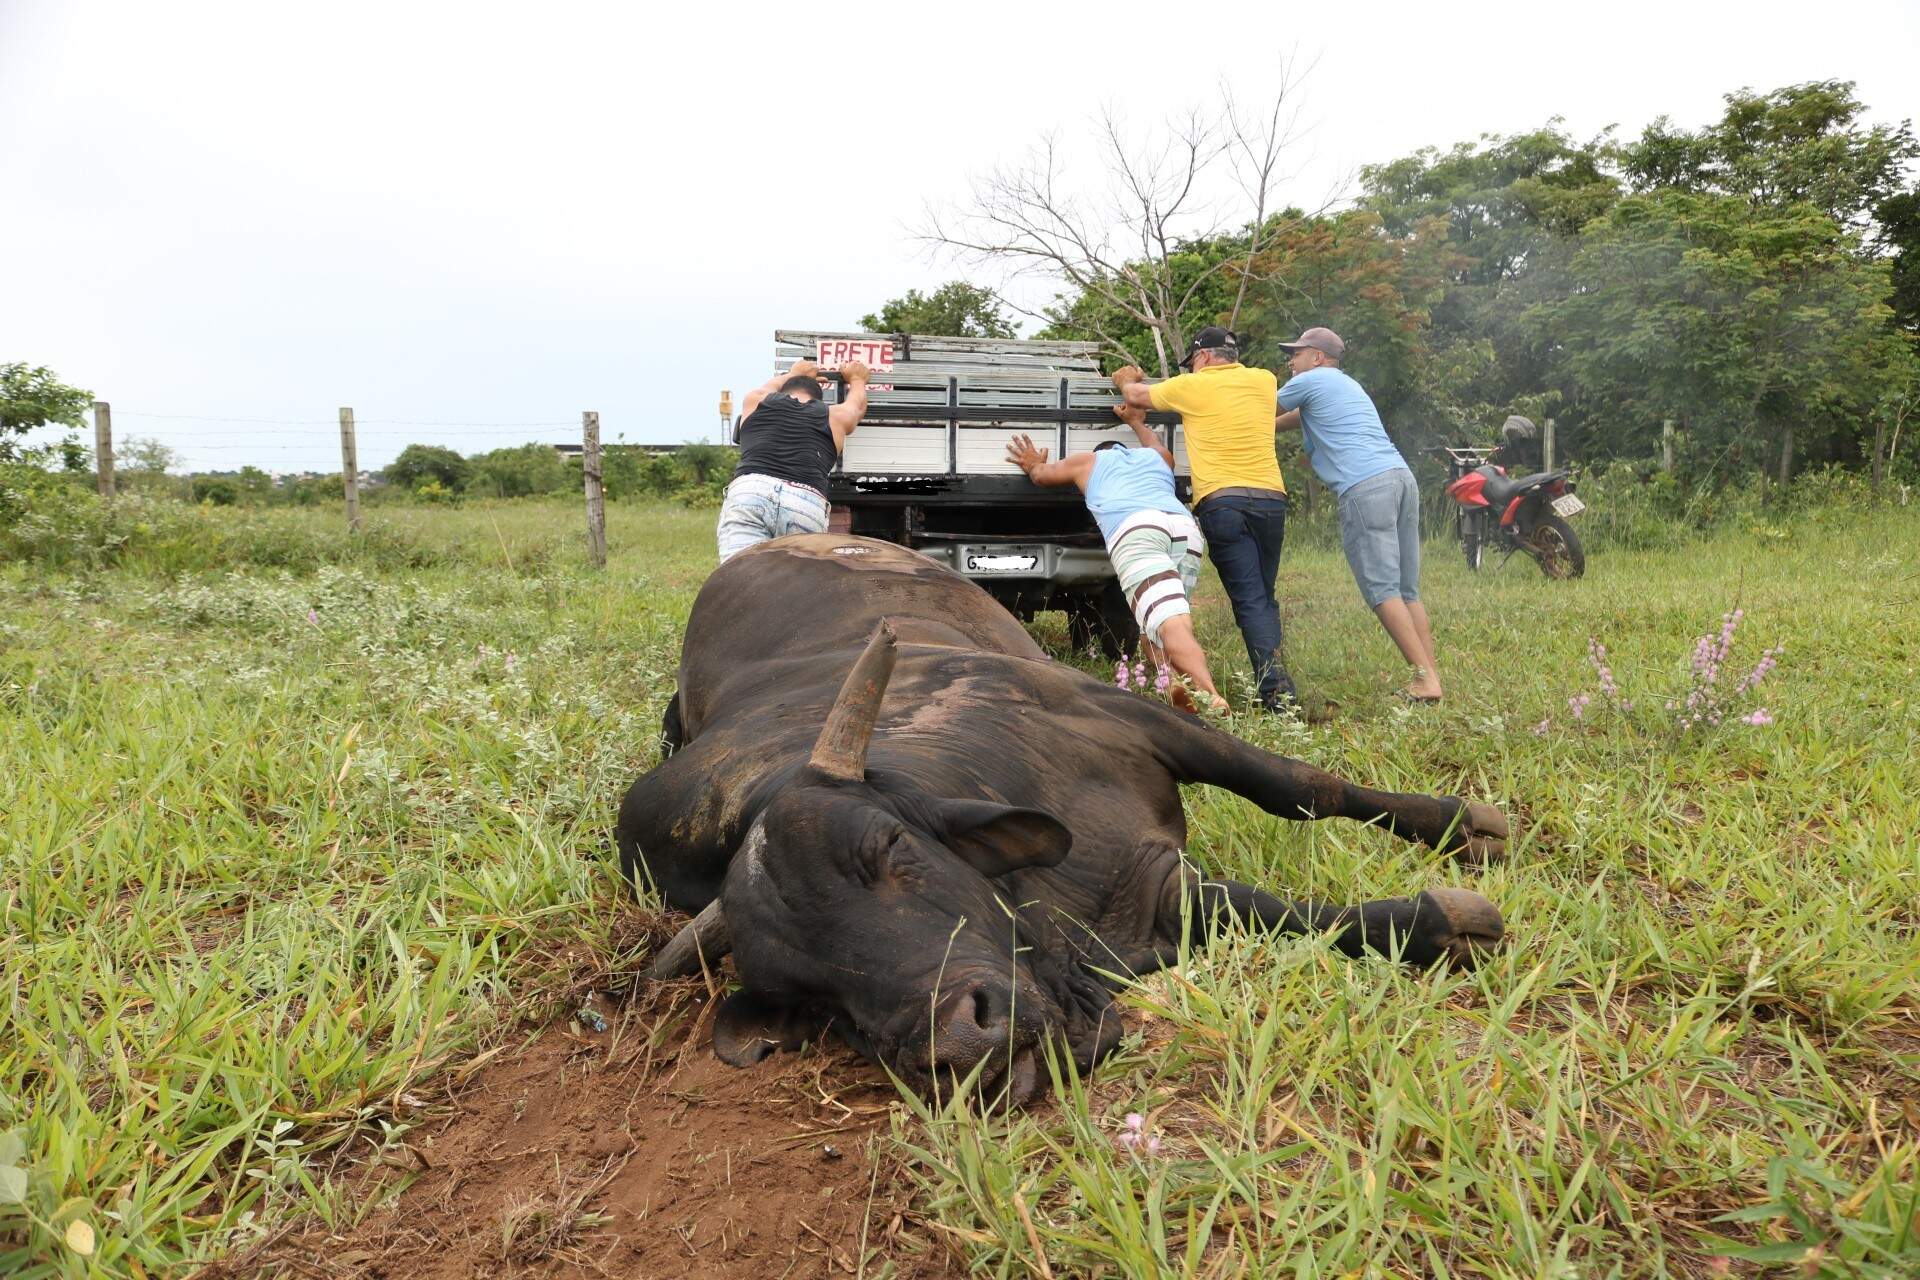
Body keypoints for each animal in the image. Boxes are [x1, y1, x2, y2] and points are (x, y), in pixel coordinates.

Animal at [622, 537, 1505, 1105]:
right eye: (810, 999)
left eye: (891, 846)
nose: (957, 1049)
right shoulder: (1157, 897)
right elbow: (1275, 914)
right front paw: (1431, 921)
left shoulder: (1140, 722)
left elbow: (1302, 788)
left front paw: (1463, 831)